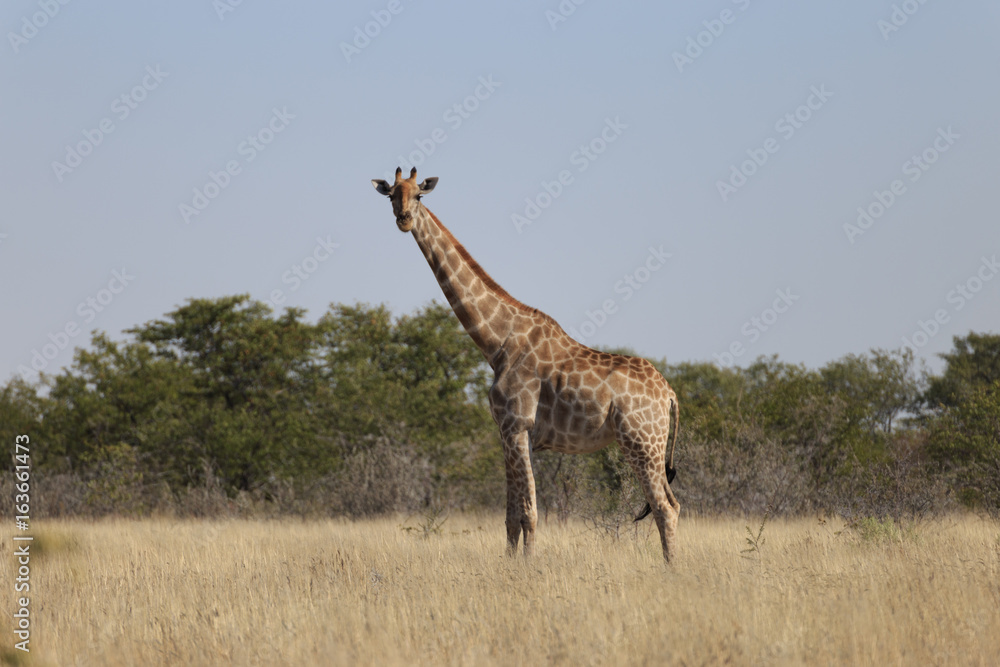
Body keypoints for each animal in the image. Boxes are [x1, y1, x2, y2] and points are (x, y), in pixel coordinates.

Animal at [371, 167, 681, 562]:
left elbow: (530, 514)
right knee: (673, 504)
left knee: (663, 507)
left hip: (642, 441)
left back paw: (671, 568)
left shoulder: (518, 425)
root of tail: (669, 393)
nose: (404, 219)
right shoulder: (507, 431)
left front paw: (529, 567)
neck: (497, 344)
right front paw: (510, 564)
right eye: (391, 195)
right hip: (648, 445)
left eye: (420, 195)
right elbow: (511, 516)